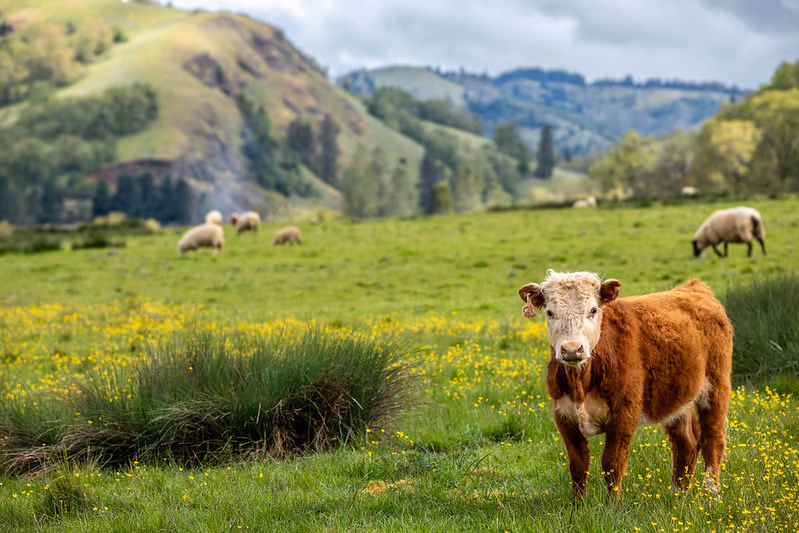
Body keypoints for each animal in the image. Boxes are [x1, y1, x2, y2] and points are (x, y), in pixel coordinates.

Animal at [518, 270, 733, 499]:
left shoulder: (624, 411)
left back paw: (710, 493)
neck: (581, 385)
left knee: (713, 438)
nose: (572, 349)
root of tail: (694, 288)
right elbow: (578, 465)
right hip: (677, 397)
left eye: (593, 310)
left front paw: (612, 503)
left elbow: (612, 462)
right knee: (686, 443)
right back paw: (677, 493)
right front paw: (577, 504)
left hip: (716, 386)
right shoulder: (563, 414)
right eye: (550, 312)